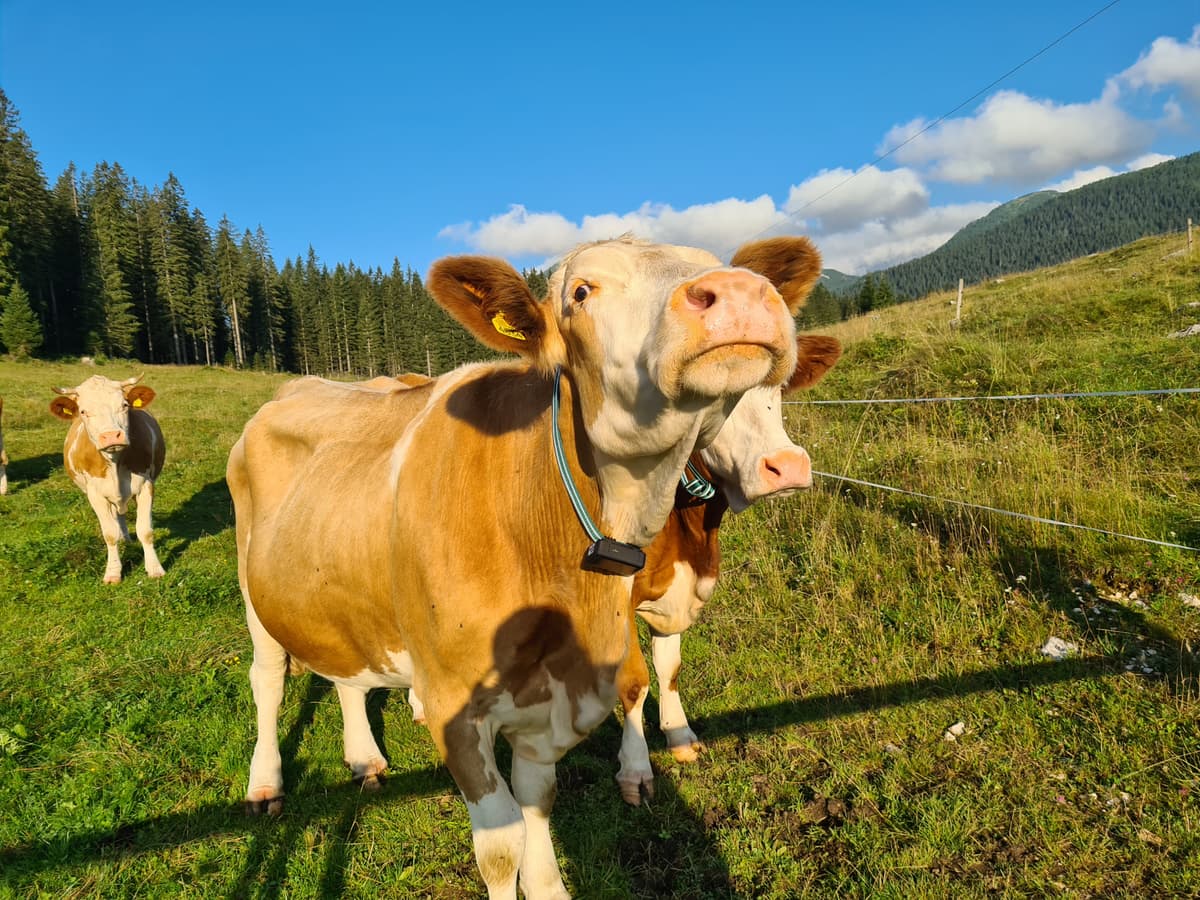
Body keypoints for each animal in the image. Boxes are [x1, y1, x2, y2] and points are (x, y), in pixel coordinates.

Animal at [49, 374, 166, 584]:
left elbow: (145, 530)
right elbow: (109, 534)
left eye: (124, 405)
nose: (111, 436)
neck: (115, 463)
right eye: (83, 411)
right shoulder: (95, 495)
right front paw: (113, 573)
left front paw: (154, 568)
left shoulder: (146, 486)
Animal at [615, 334, 842, 805]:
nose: (787, 467)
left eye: (781, 386)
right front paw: (636, 769)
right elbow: (633, 680)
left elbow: (669, 666)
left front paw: (679, 736)